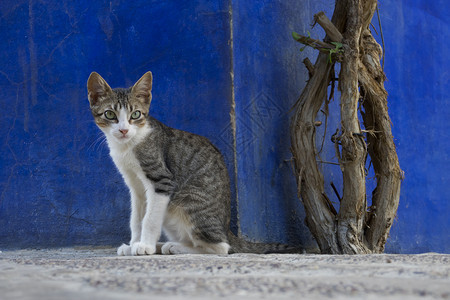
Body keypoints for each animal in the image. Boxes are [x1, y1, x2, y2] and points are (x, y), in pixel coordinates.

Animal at [87, 71, 296, 255]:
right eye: (110, 115)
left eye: (136, 114)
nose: (123, 130)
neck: (128, 145)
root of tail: (226, 228)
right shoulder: (135, 187)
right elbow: (137, 219)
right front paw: (134, 244)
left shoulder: (161, 180)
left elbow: (150, 218)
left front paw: (144, 246)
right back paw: (164, 245)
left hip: (188, 201)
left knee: (222, 247)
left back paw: (173, 247)